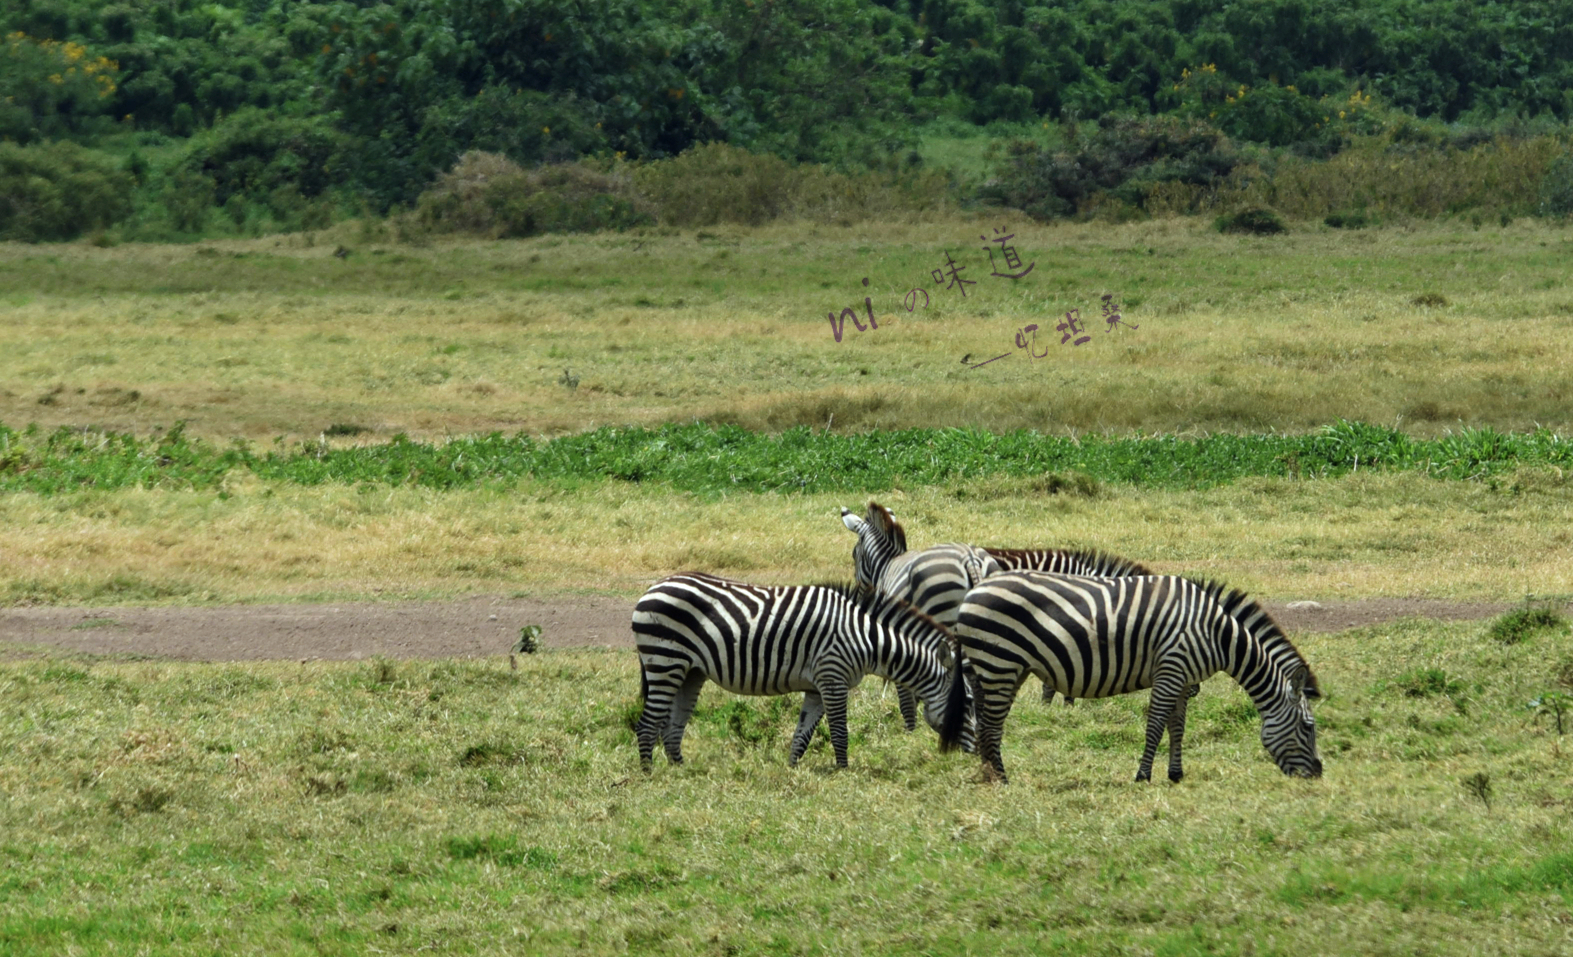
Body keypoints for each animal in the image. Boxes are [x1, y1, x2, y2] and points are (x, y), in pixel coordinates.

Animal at [626, 572, 968, 764]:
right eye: (967, 704)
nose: (967, 755)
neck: (867, 638)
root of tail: (652, 588)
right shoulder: (833, 676)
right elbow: (840, 733)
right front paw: (843, 774)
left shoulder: (818, 687)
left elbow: (802, 737)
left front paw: (792, 771)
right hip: (665, 660)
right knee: (648, 725)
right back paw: (649, 776)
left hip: (690, 671)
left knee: (672, 727)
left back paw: (681, 771)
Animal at [937, 572, 1321, 780]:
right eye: (1308, 727)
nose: (1317, 774)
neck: (1216, 634)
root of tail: (973, 591)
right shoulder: (1171, 669)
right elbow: (1155, 725)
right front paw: (1143, 775)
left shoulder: (1182, 678)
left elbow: (1177, 727)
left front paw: (1175, 774)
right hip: (999, 662)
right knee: (991, 726)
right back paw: (1002, 780)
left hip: (998, 667)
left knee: (984, 724)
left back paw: (988, 776)